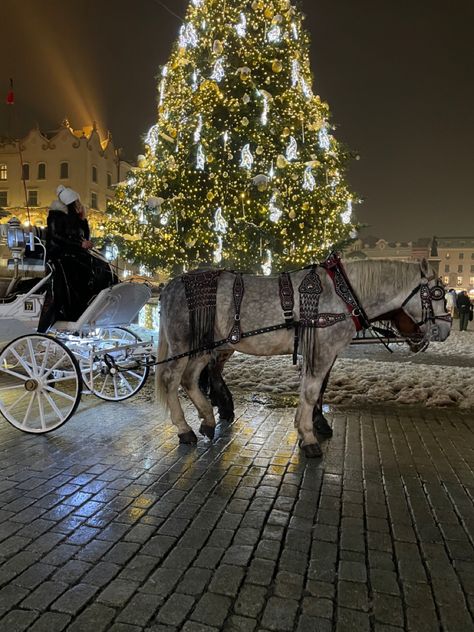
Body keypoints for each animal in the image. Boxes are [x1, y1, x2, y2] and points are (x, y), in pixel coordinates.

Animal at [156, 256, 452, 460]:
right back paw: (184, 429)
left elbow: (313, 390)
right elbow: (311, 392)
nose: (446, 329)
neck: (344, 295)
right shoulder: (323, 351)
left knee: (189, 379)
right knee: (171, 379)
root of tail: (170, 284)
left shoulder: (320, 353)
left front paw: (308, 426)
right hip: (185, 343)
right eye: (437, 293)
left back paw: (208, 419)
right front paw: (309, 436)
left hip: (205, 346)